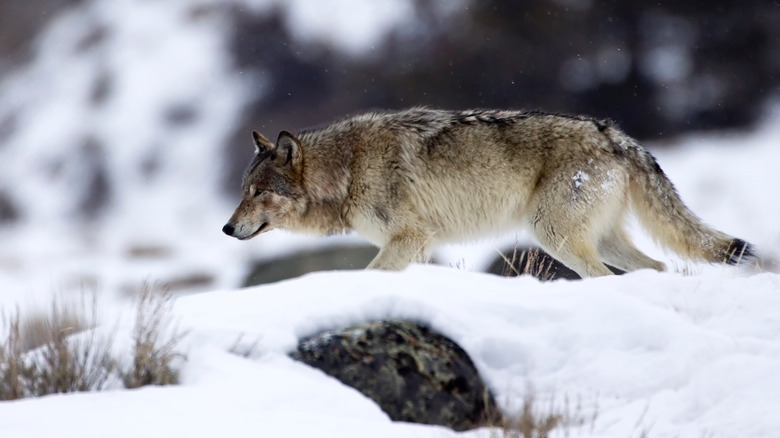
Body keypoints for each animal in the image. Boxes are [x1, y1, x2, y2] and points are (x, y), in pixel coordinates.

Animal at [221, 107, 756, 278]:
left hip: (554, 235)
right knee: (660, 267)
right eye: (242, 190)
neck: (348, 170)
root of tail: (616, 135)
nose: (226, 228)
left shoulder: (409, 239)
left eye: (256, 191)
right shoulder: (420, 247)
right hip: (599, 239)